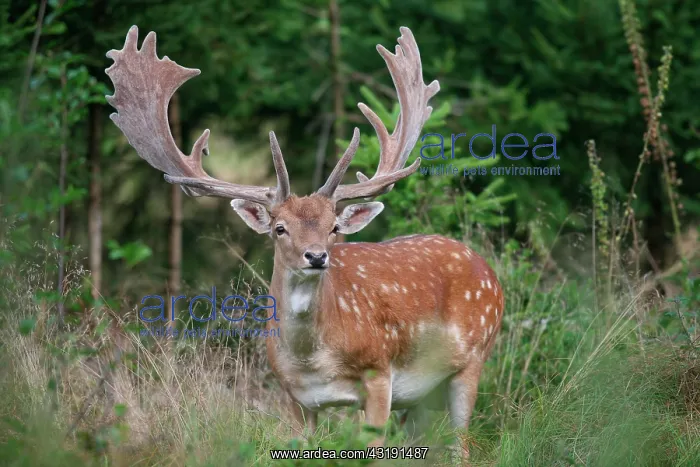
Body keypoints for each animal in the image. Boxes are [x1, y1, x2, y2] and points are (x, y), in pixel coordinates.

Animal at [105, 25, 504, 460]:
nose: (316, 256)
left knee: (461, 445)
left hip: (473, 358)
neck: (312, 362)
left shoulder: (380, 373)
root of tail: (487, 269)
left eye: (333, 227)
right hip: (421, 396)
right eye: (280, 228)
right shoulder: (293, 396)